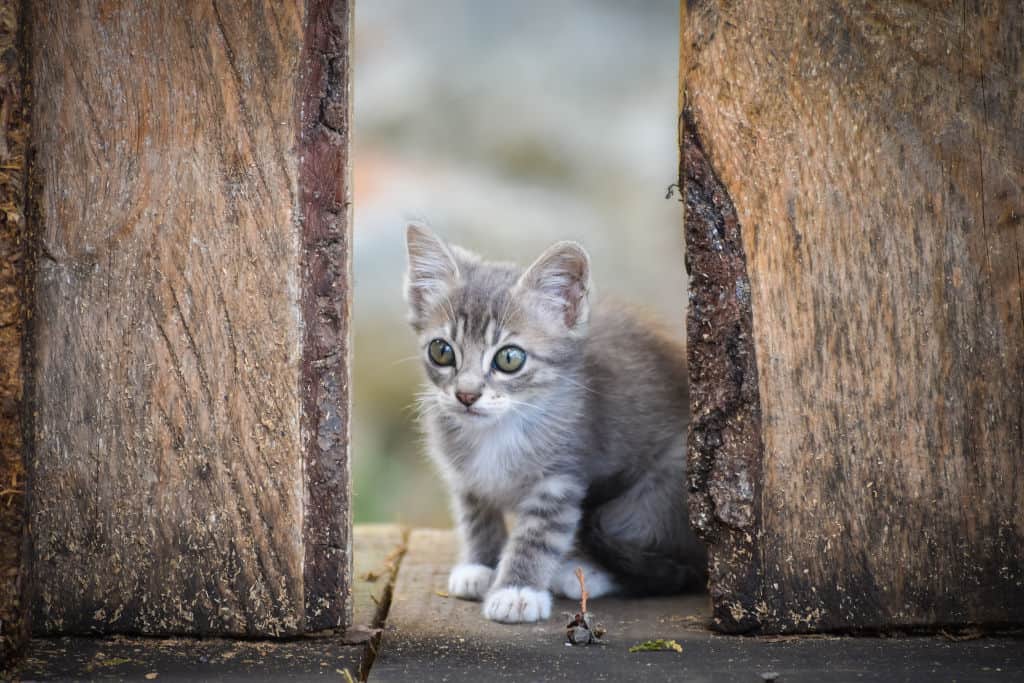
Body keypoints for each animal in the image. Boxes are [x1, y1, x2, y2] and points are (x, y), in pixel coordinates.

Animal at [401, 225, 704, 626]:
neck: (499, 429)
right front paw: (480, 566)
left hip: (653, 495)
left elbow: (539, 534)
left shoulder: (561, 475)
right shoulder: (466, 477)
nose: (466, 395)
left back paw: (585, 573)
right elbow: (476, 515)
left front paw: (516, 591)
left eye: (509, 358)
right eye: (441, 351)